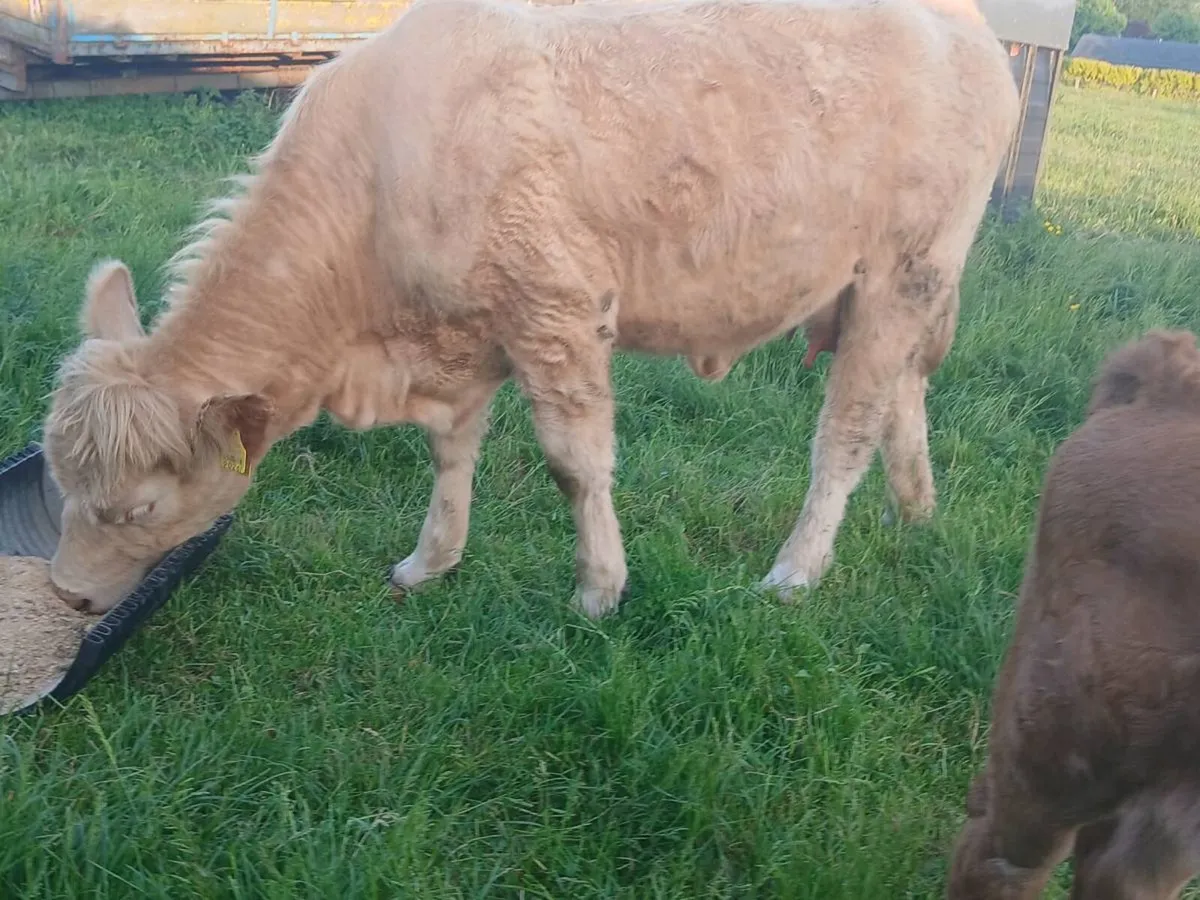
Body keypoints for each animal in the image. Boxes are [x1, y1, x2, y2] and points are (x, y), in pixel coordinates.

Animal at [40, 0, 1019, 619]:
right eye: (61, 485)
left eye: (139, 510)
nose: (65, 595)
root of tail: (970, 28)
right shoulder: (465, 333)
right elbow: (449, 453)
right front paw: (429, 561)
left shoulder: (555, 307)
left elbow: (575, 464)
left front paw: (599, 590)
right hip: (891, 290)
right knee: (905, 394)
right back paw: (914, 512)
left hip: (903, 272)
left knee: (847, 429)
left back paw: (797, 570)